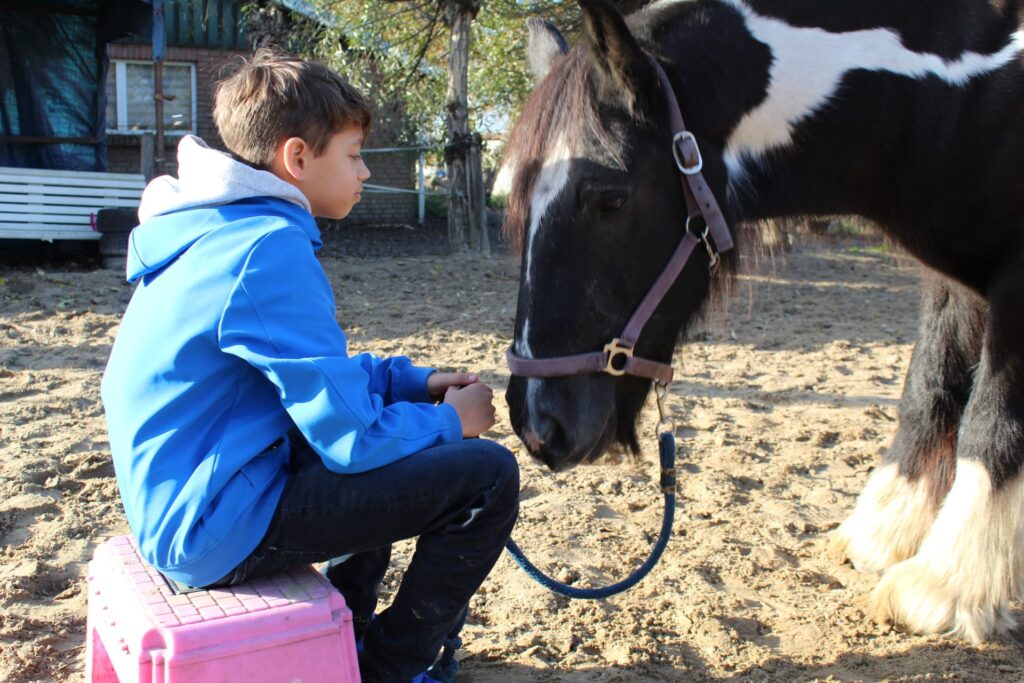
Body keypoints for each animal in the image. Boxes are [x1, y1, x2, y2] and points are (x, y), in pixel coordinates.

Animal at [501, 0, 1024, 644]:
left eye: (611, 199)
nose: (536, 424)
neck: (959, 96)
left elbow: (991, 420)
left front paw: (946, 584)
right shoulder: (952, 280)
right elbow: (928, 389)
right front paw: (884, 533)